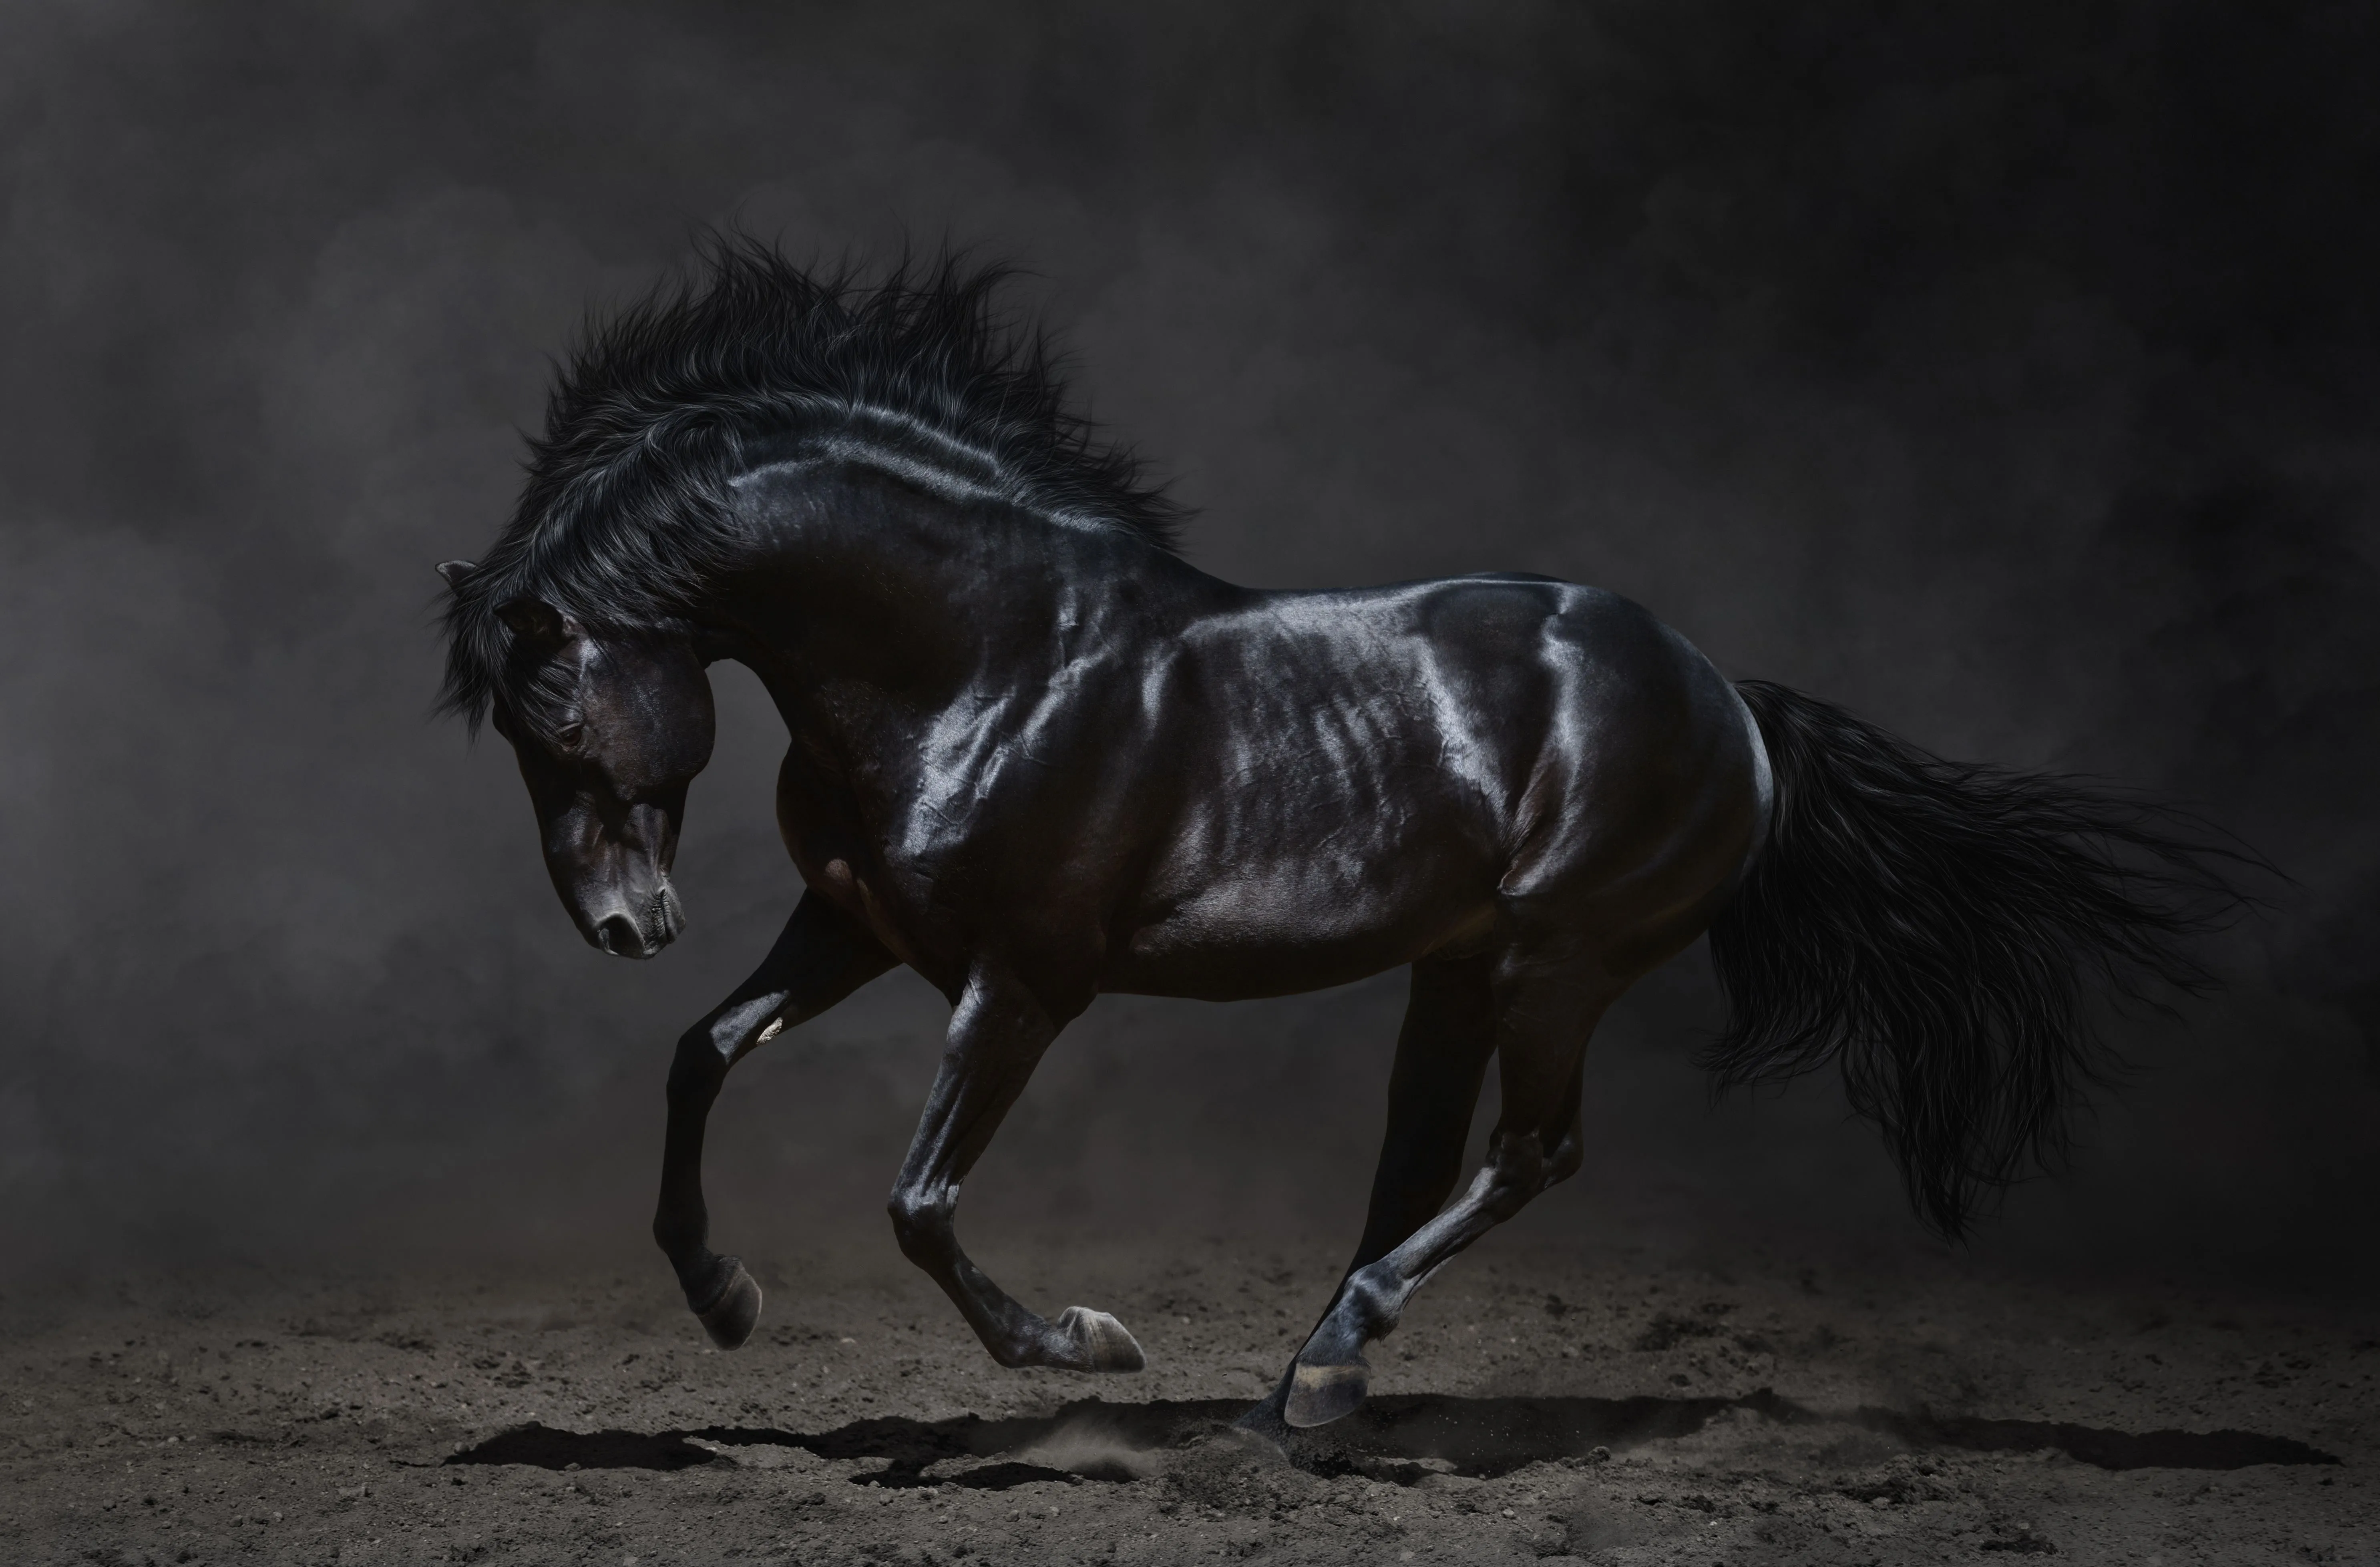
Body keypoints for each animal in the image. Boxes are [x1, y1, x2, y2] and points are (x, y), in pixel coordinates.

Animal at [437, 242, 2245, 1436]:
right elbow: (702, 1053)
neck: (987, 659)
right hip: (1457, 969)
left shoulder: (1022, 981)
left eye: (557, 718)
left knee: (1531, 1153)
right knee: (1418, 1164)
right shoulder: (857, 928)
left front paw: (1087, 1346)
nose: (623, 924)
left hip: (1558, 960)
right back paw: (1309, 1385)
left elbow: (921, 1200)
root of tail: (1729, 698)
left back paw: (1324, 1366)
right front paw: (723, 1297)